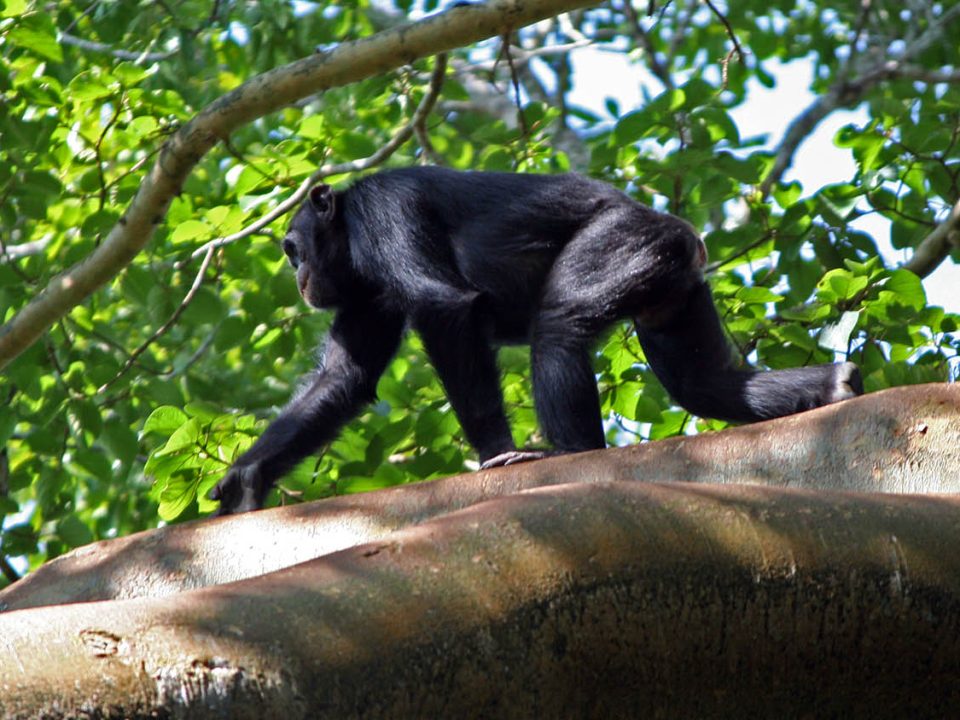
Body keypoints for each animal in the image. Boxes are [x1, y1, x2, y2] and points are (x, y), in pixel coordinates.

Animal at [210, 168, 864, 516]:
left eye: (292, 247)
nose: (297, 273)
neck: (348, 233)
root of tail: (684, 234)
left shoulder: (386, 211)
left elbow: (443, 306)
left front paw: (496, 454)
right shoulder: (363, 296)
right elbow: (343, 378)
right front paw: (247, 478)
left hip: (624, 243)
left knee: (559, 324)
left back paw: (569, 454)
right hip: (672, 291)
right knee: (702, 382)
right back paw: (836, 383)